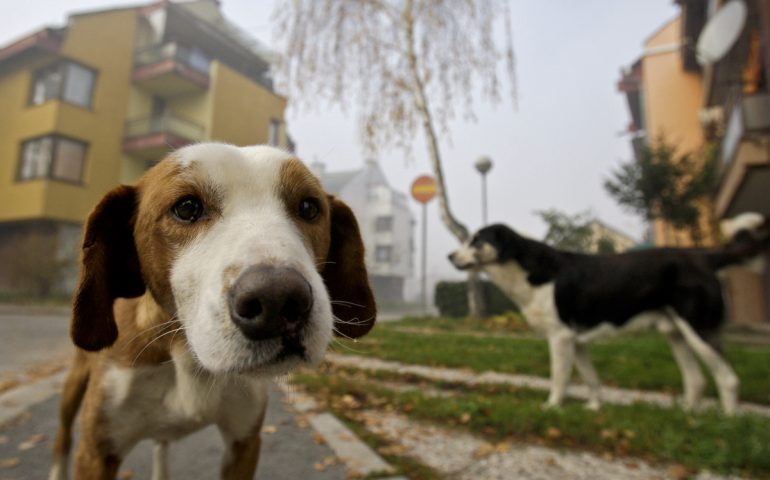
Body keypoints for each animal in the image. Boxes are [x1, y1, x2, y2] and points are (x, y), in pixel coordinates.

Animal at [48, 143, 376, 480]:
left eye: (309, 207)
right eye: (186, 207)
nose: (279, 301)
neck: (187, 355)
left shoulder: (244, 443)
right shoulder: (97, 453)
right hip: (74, 386)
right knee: (63, 436)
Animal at [448, 214, 764, 416]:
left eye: (476, 241)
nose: (449, 256)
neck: (524, 269)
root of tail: (704, 256)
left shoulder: (561, 338)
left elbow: (559, 378)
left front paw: (552, 407)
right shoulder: (576, 341)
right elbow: (591, 379)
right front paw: (594, 408)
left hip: (699, 330)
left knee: (728, 379)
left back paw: (727, 423)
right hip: (676, 333)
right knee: (696, 380)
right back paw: (688, 415)